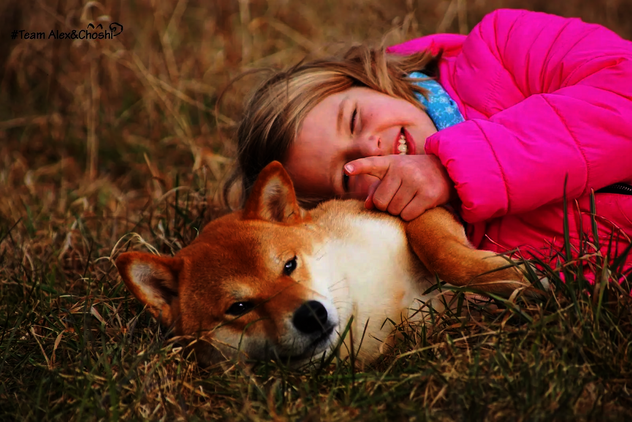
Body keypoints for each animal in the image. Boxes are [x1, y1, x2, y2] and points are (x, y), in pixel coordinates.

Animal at [116, 161, 540, 366]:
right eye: (239, 307)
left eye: (289, 265)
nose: (311, 315)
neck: (367, 300)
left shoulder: (416, 207)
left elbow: (443, 252)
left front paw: (517, 280)